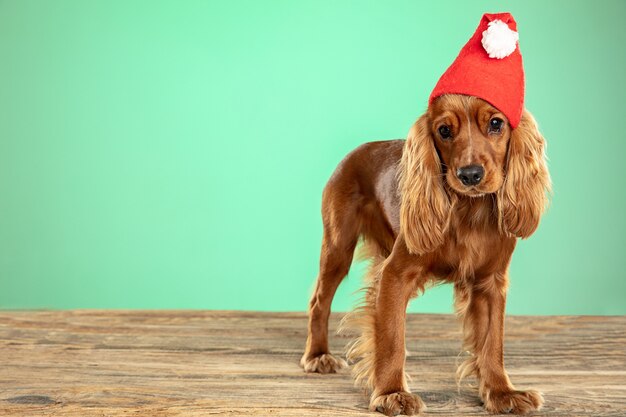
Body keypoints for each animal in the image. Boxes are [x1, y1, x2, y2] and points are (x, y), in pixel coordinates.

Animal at [300, 92, 548, 414]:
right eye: (444, 130)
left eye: (496, 124)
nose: (470, 175)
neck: (470, 212)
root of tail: (358, 150)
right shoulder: (396, 274)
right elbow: (392, 338)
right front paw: (391, 392)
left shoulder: (490, 282)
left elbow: (493, 342)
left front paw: (501, 392)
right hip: (338, 247)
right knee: (320, 300)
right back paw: (317, 355)